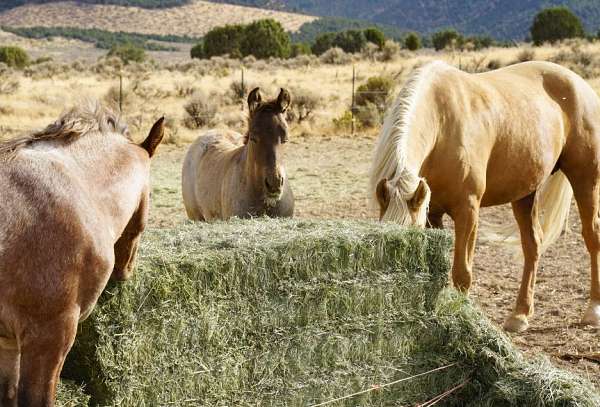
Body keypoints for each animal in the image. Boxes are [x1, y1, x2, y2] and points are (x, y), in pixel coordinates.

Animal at [368, 61, 600, 334]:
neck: (442, 123)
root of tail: (578, 83)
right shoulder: (432, 213)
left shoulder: (467, 210)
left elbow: (462, 273)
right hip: (525, 193)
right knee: (532, 245)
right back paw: (520, 315)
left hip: (585, 179)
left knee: (592, 236)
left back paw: (592, 310)